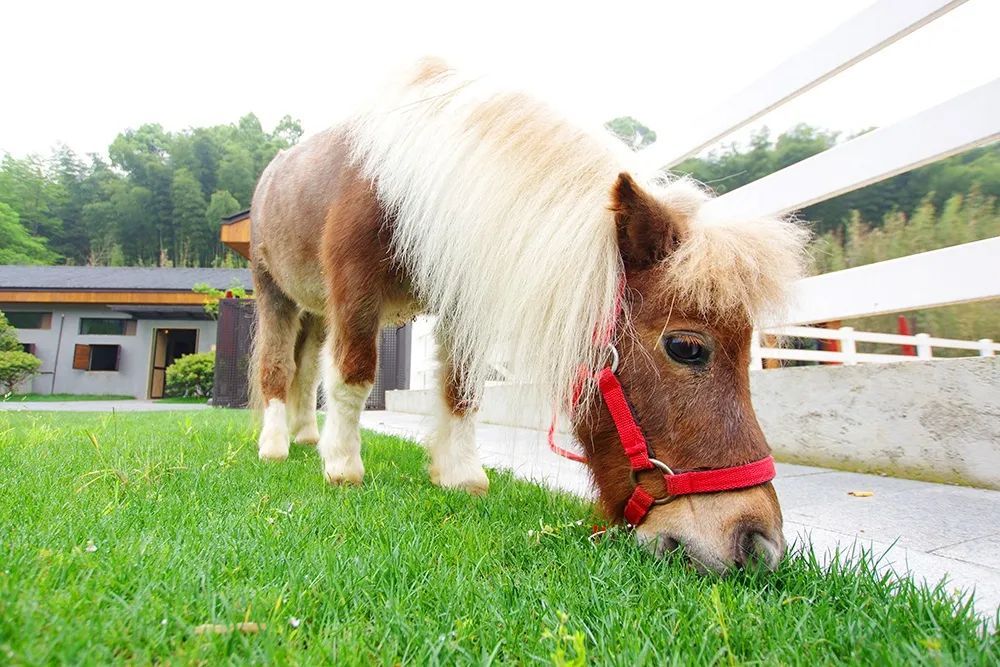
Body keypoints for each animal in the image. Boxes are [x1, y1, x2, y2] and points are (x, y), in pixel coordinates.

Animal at [250, 58, 812, 576]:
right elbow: (354, 375)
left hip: (315, 310)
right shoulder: (356, 289)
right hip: (274, 291)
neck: (407, 182)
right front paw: (343, 465)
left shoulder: (459, 295)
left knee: (305, 371)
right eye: (687, 347)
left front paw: (459, 474)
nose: (758, 544)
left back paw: (306, 436)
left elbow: (461, 389)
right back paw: (276, 444)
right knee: (279, 368)